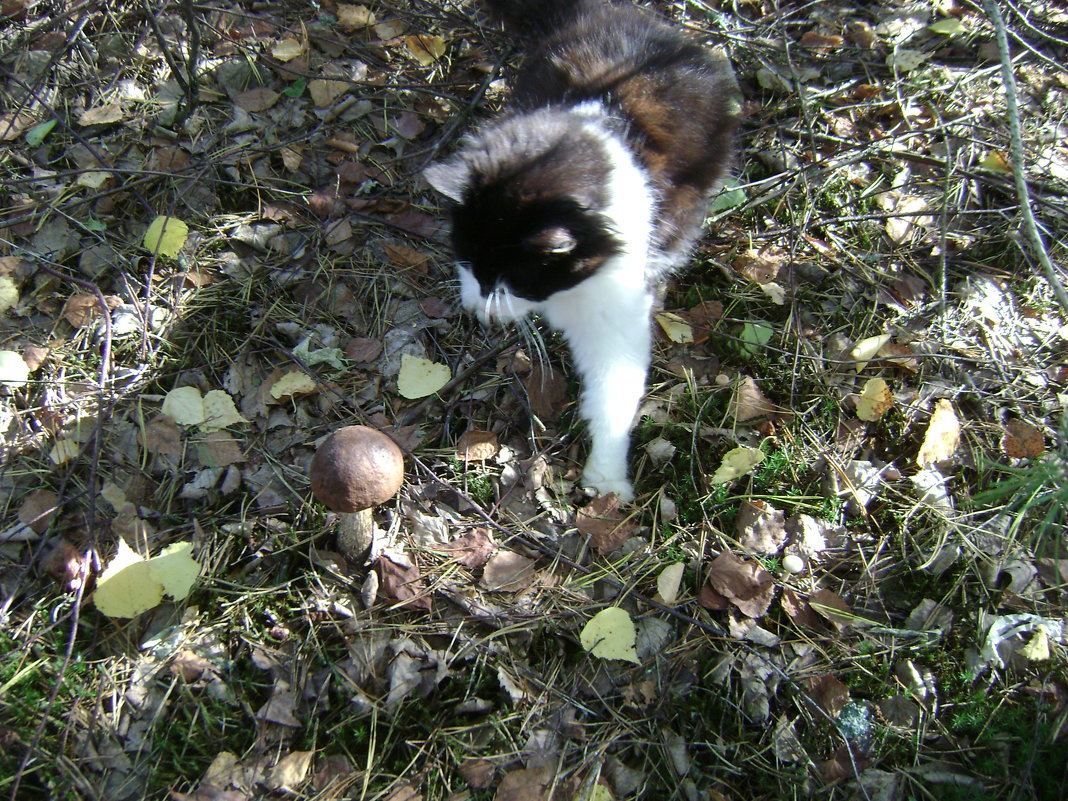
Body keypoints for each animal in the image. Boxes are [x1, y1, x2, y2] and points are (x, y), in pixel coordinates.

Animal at [420, 0, 739, 501]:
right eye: (469, 262)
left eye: (512, 277)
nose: (481, 303)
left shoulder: (619, 312)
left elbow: (614, 394)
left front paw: (606, 479)